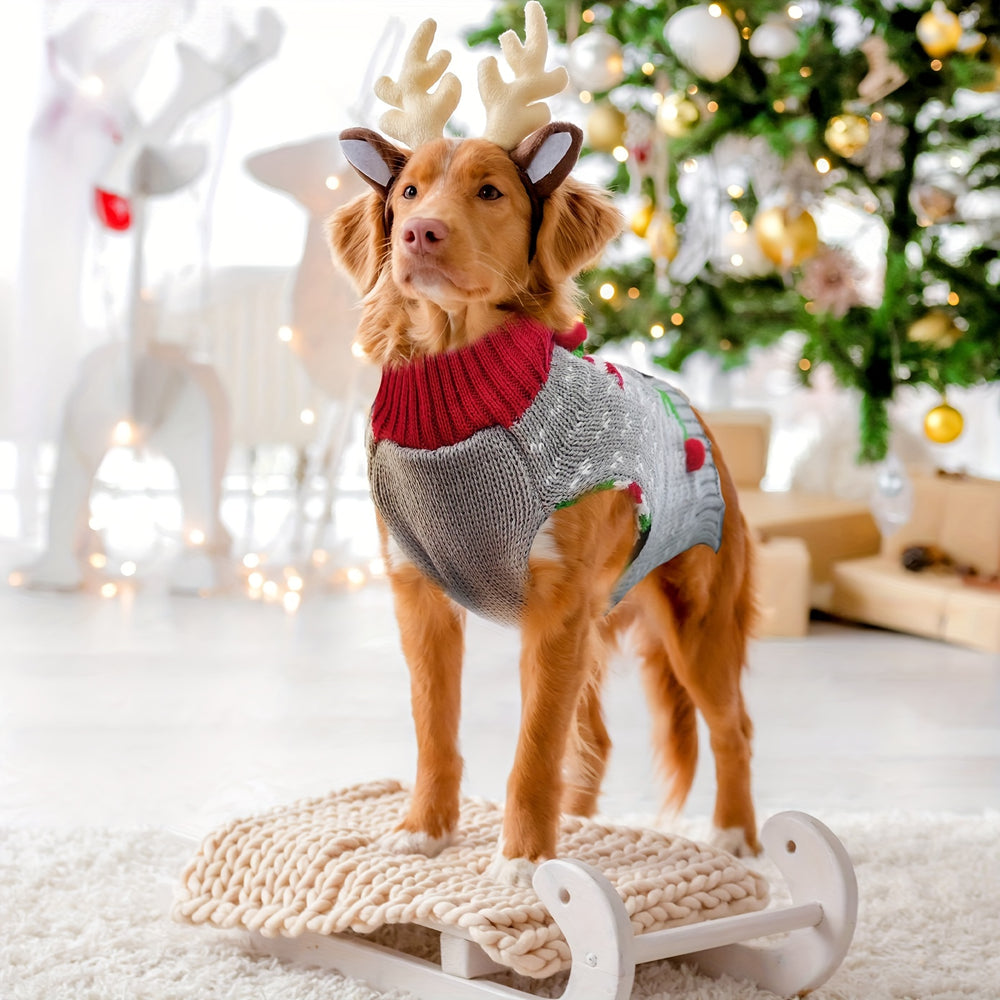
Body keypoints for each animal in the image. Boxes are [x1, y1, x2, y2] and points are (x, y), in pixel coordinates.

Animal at [328, 5, 756, 884]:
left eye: (491, 191)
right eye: (409, 190)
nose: (419, 232)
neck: (460, 397)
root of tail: (698, 412)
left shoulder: (556, 607)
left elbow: (532, 747)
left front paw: (524, 861)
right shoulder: (419, 594)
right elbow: (436, 726)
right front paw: (425, 829)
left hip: (699, 617)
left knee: (731, 727)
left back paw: (733, 834)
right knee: (594, 734)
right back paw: (585, 821)